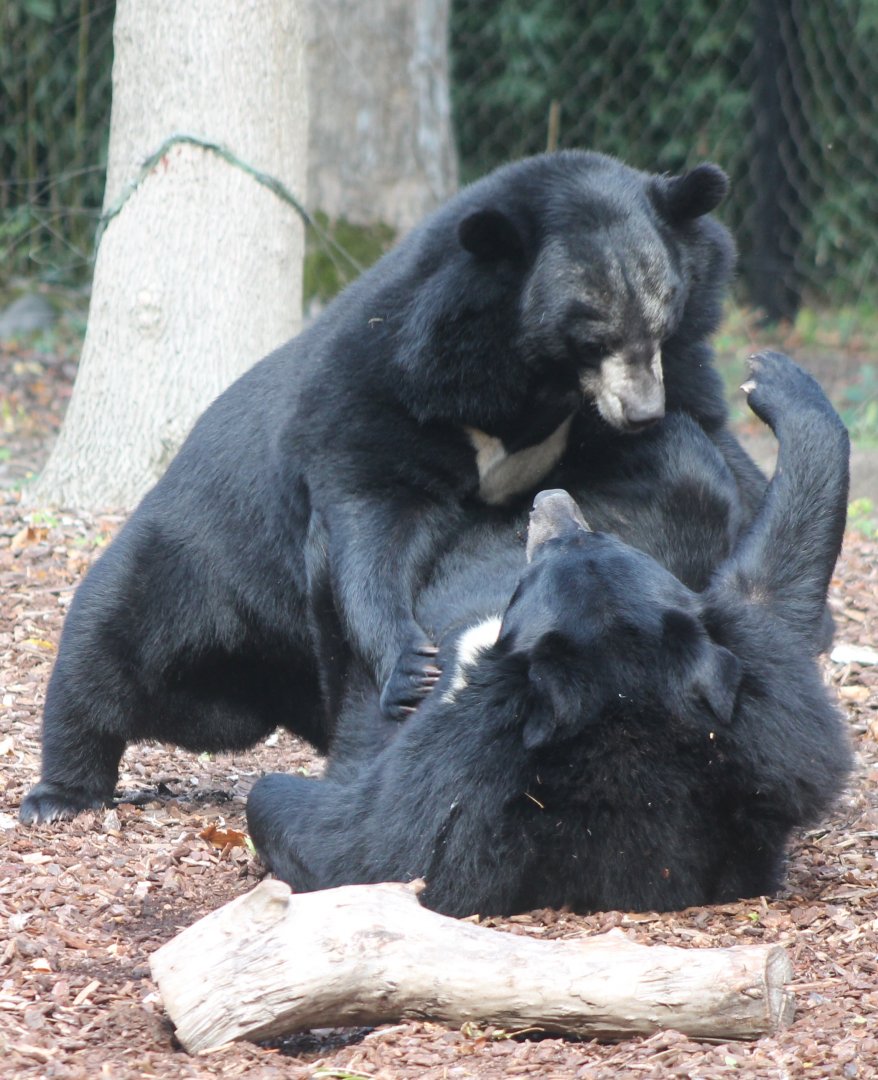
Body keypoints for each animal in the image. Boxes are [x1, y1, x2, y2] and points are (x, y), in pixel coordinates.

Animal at [21, 149, 741, 825]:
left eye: (667, 308)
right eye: (589, 331)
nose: (642, 412)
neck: (532, 384)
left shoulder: (676, 371)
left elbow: (705, 450)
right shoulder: (388, 387)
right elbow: (376, 519)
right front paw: (413, 668)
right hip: (196, 562)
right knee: (105, 642)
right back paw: (59, 793)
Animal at [246, 352, 853, 918]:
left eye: (535, 572)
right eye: (595, 538)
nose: (551, 501)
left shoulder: (463, 777)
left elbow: (360, 845)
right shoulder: (760, 700)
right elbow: (769, 593)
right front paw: (777, 382)